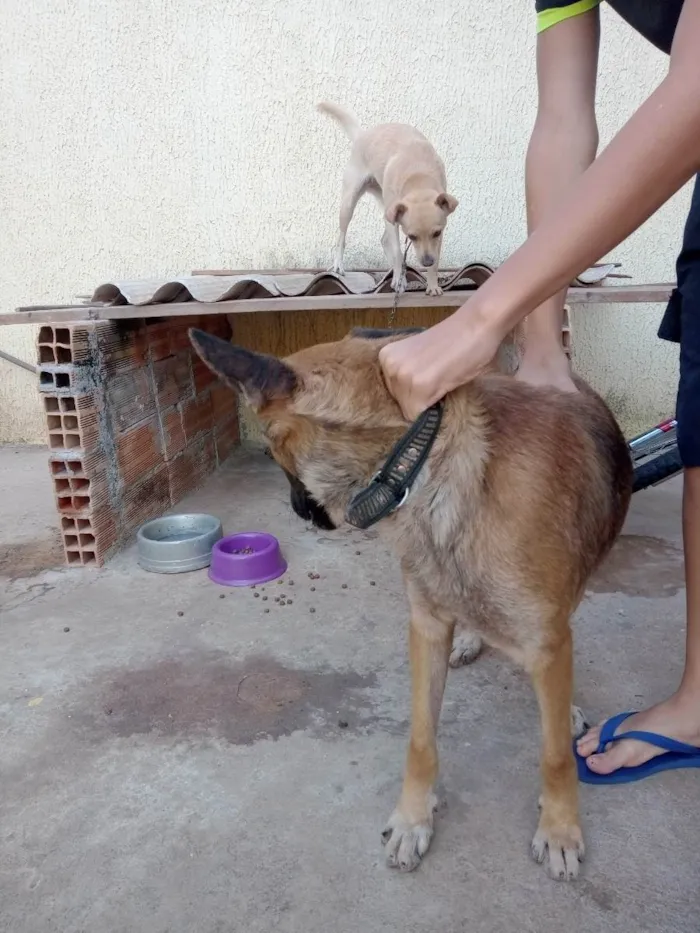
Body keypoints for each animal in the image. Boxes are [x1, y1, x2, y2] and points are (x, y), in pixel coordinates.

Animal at [190, 324, 636, 876]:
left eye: (273, 454)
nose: (298, 512)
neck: (425, 468)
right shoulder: (426, 627)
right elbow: (421, 739)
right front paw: (412, 819)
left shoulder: (546, 643)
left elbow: (554, 754)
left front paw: (559, 829)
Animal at [318, 101, 460, 294]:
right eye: (412, 236)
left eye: (436, 233)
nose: (426, 262)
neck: (417, 176)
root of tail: (362, 135)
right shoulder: (395, 222)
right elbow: (398, 252)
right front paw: (399, 280)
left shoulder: (435, 236)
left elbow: (436, 259)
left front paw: (432, 285)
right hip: (350, 203)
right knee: (342, 236)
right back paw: (339, 265)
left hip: (387, 209)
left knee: (384, 240)